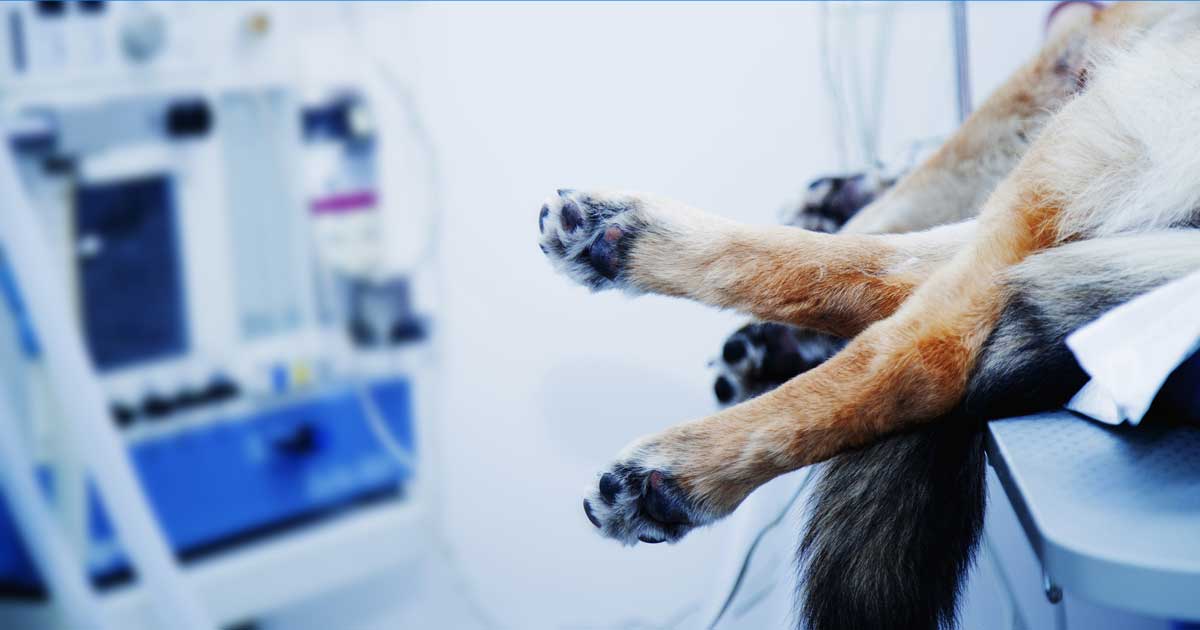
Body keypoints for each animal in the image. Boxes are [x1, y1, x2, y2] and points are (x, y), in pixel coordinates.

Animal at [540, 3, 1200, 624]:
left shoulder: (1056, 69)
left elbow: (896, 201)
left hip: (1105, 109)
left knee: (928, 348)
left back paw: (680, 471)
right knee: (898, 271)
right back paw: (625, 236)